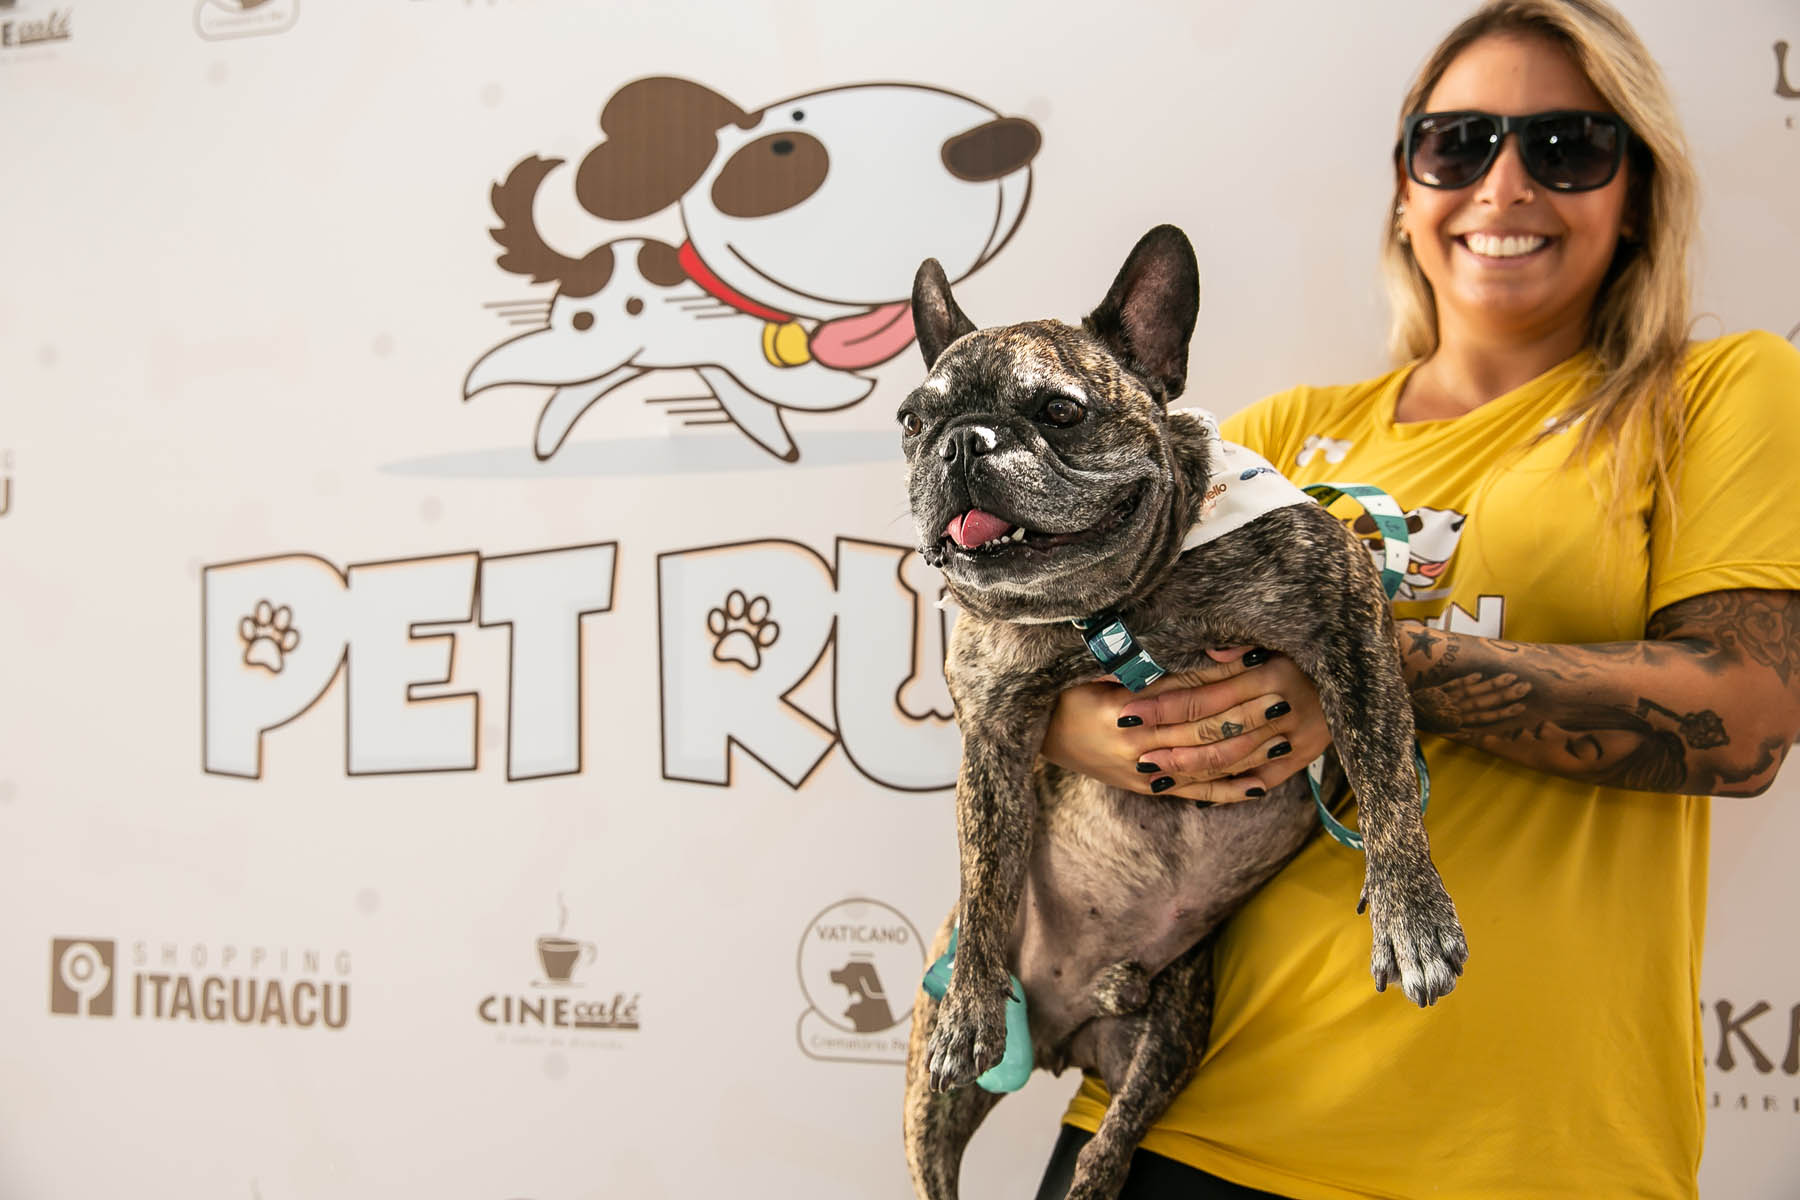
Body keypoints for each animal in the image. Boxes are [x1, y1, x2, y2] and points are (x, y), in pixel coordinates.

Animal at [464, 156, 872, 462]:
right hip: (589, 345)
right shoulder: (744, 360)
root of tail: (579, 266)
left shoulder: (727, 370)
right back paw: (479, 383)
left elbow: (762, 408)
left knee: (563, 396)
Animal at [897, 226, 1467, 1200]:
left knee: (1116, 1133)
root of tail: (1065, 1037)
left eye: (1060, 411)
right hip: (931, 1109)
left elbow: (1387, 774)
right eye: (910, 421)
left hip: (1174, 1030)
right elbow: (984, 875)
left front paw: (1413, 914)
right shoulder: (994, 732)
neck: (1113, 609)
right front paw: (972, 1000)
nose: (962, 443)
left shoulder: (1346, 614)